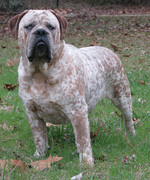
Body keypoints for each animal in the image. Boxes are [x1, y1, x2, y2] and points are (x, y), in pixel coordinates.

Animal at [8, 9, 135, 165]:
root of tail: (110, 51)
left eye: (51, 27)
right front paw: (40, 155)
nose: (41, 32)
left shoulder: (77, 111)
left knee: (128, 119)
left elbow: (83, 140)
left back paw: (130, 136)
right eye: (29, 26)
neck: (40, 72)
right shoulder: (32, 113)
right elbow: (39, 138)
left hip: (122, 97)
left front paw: (87, 163)